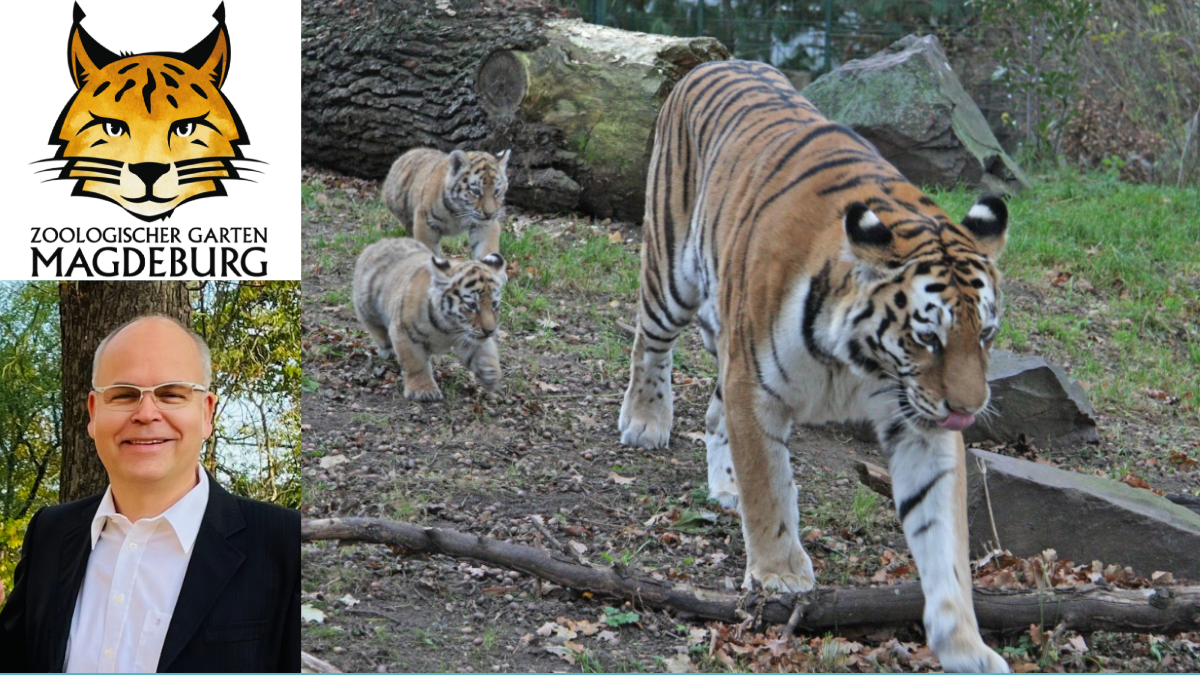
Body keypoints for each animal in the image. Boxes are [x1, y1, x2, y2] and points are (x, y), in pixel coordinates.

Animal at [619, 60, 1012, 667]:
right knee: (649, 344)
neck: (861, 360)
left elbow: (943, 539)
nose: (968, 411)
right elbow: (769, 487)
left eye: (986, 334)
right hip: (672, 273)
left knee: (713, 414)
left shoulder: (918, 422)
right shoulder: (754, 387)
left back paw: (725, 487)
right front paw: (781, 576)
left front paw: (965, 646)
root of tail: (714, 61)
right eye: (928, 338)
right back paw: (644, 421)